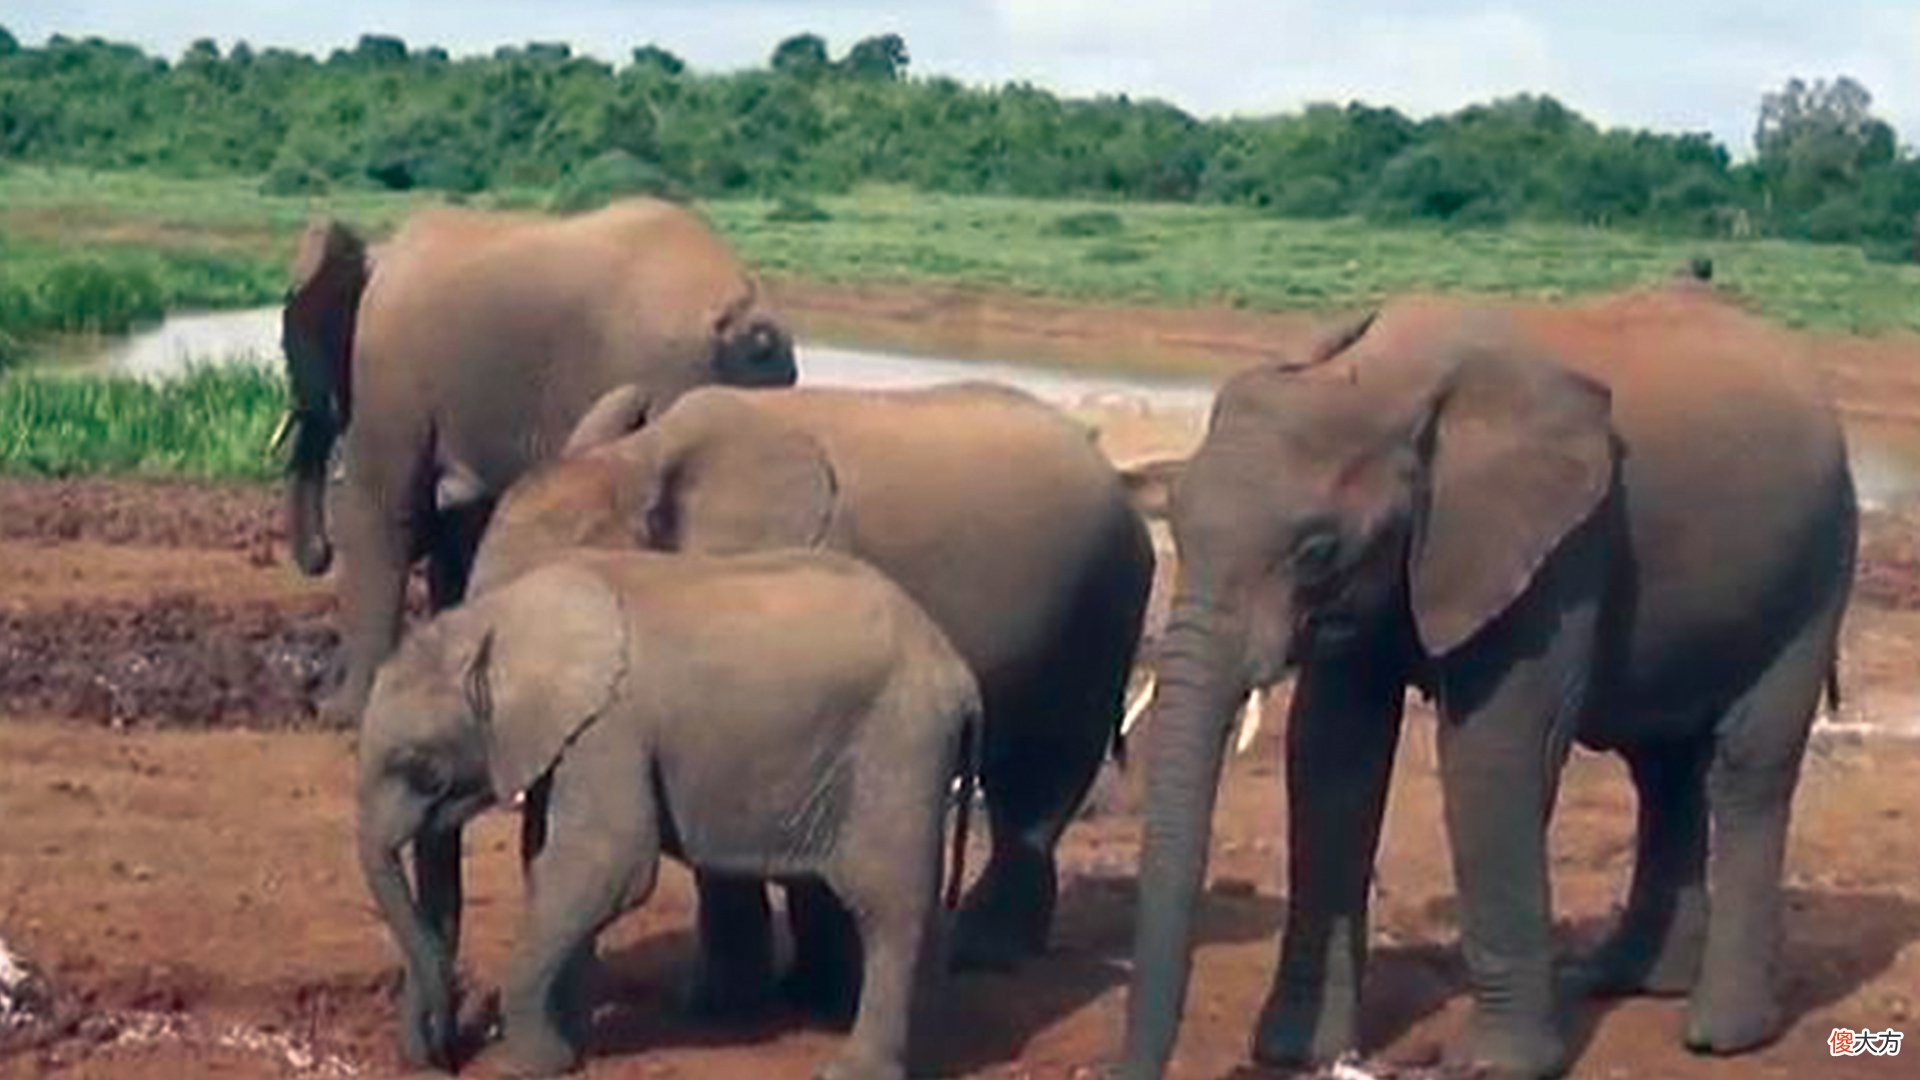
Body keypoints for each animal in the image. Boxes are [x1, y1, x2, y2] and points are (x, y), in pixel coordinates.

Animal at [279, 198, 796, 729]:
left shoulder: (387, 369)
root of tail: (750, 317)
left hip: (667, 372)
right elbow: (455, 526)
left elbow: (383, 513)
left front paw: (341, 716)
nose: (317, 555)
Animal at [356, 547, 982, 1079]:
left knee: (886, 903)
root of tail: (955, 665)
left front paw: (534, 1063)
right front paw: (573, 1046)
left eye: (422, 769)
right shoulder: (573, 741)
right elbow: (549, 862)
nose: (443, 1057)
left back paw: (851, 1069)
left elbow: (609, 865)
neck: (496, 619)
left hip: (902, 741)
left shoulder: (610, 728)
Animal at [464, 381, 1154, 1004]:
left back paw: (982, 955)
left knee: (1038, 784)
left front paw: (799, 999)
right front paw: (722, 1006)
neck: (636, 460)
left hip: (1100, 608)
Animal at [1119, 284, 1856, 1077]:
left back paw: (1721, 1033)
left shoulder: (1555, 551)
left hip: (1816, 567)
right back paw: (1627, 979)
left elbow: (1494, 753)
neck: (1380, 379)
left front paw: (1494, 1066)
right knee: (1662, 769)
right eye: (1175, 524)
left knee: (1748, 769)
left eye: (1316, 550)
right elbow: (1331, 755)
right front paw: (1296, 1051)